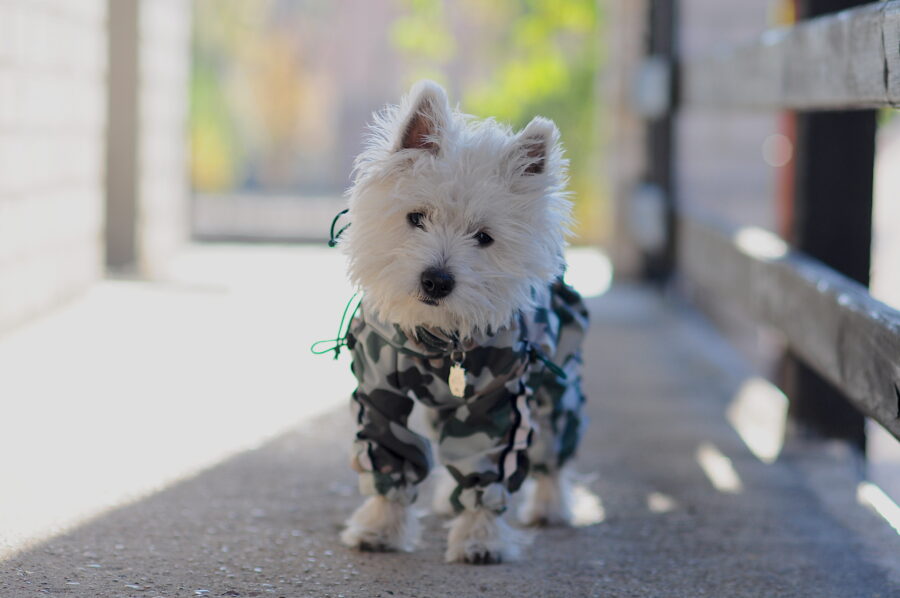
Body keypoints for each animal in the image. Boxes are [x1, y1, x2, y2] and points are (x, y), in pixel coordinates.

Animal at [334, 81, 588, 568]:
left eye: (484, 237)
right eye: (416, 217)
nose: (437, 280)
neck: (437, 342)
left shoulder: (497, 402)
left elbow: (485, 468)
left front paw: (480, 539)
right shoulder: (378, 392)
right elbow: (388, 454)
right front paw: (379, 529)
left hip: (557, 384)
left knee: (553, 450)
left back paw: (550, 507)